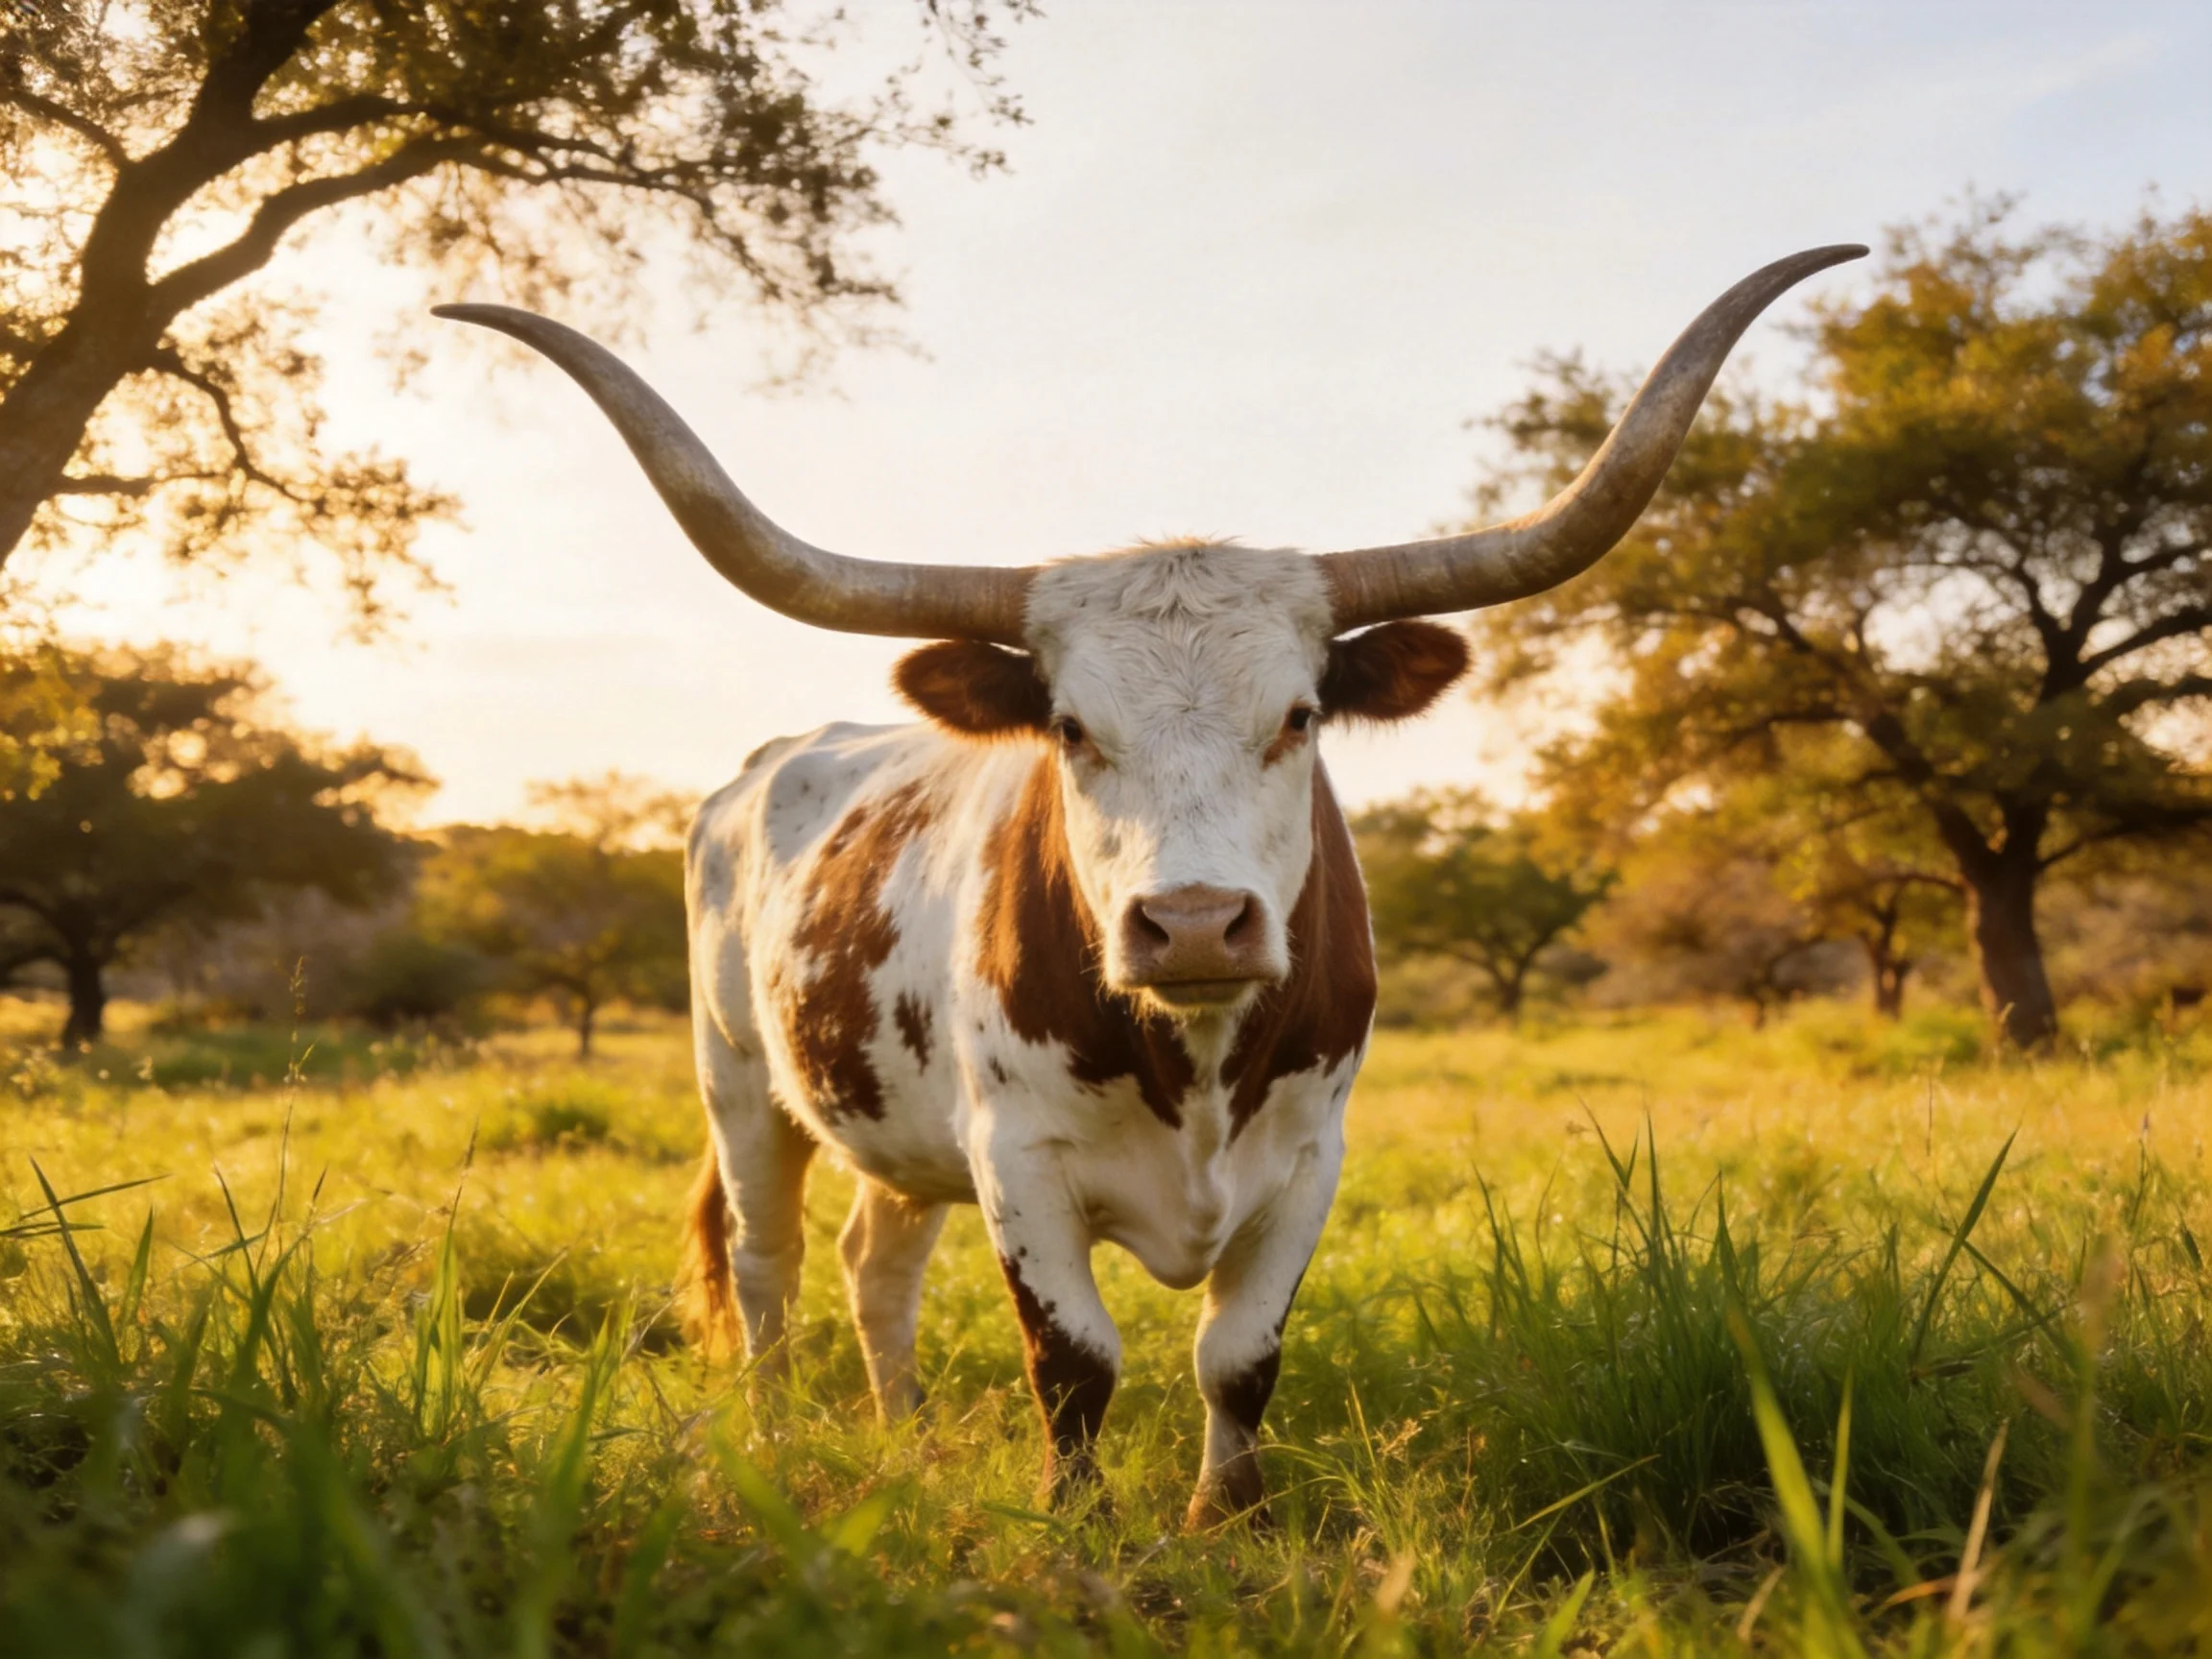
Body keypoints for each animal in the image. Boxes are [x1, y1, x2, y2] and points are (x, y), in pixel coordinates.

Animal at [434, 243, 1862, 1527]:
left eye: (1299, 717)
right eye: (1070, 728)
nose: (1192, 925)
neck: (1198, 1057)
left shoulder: (1310, 1159)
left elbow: (1239, 1358)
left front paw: (1226, 1518)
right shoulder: (1017, 1162)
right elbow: (1074, 1362)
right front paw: (1079, 1527)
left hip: (896, 1128)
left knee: (874, 1264)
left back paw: (905, 1442)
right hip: (738, 1081)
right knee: (766, 1264)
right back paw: (778, 1443)